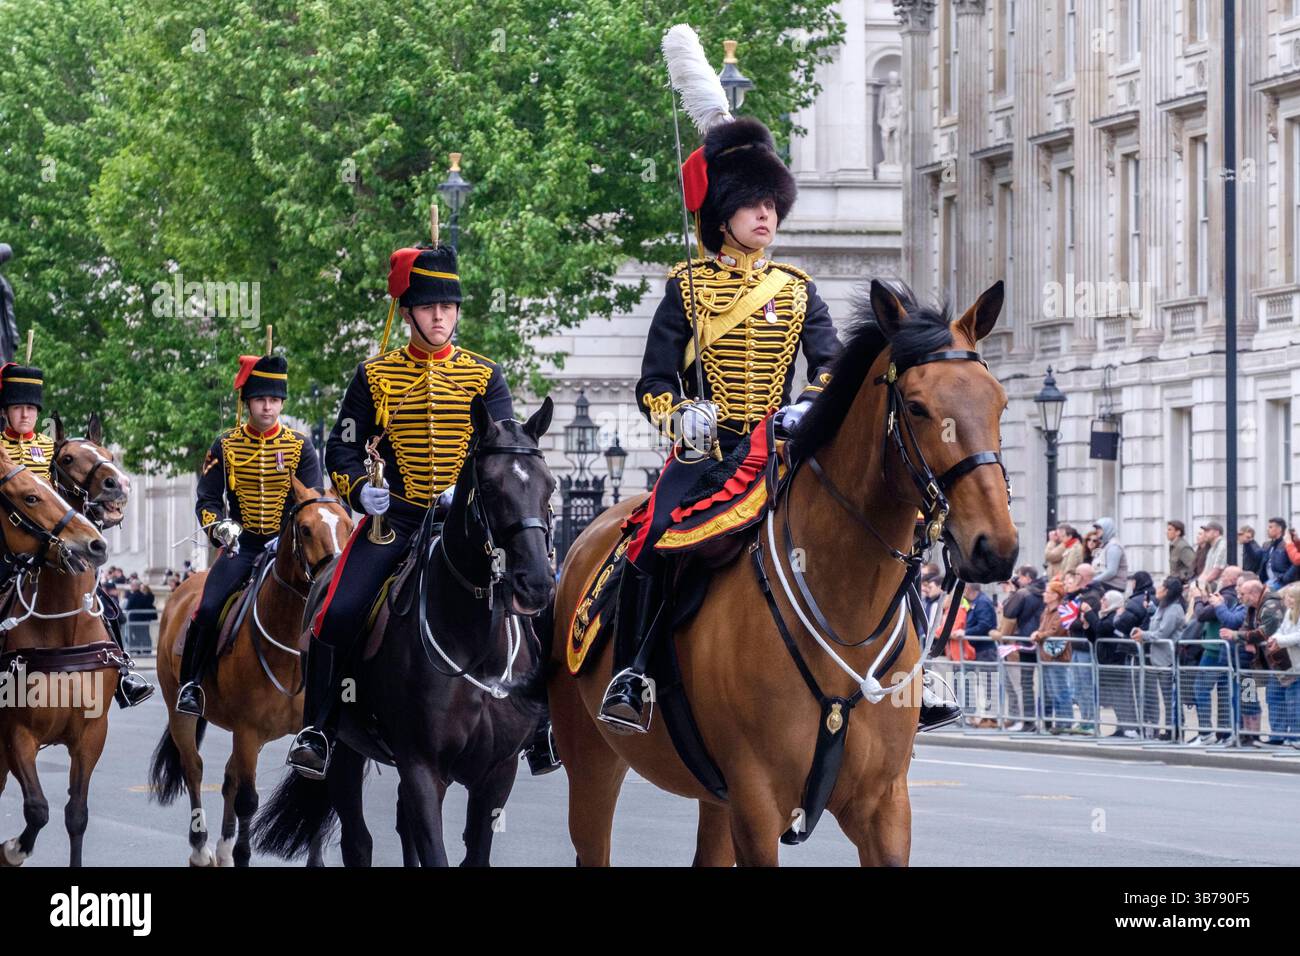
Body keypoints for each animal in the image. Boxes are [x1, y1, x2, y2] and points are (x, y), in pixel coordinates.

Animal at [0, 445, 113, 867]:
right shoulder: (17, 733)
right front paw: (13, 849)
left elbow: (75, 815)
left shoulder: (91, 734)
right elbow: (37, 808)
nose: (96, 544)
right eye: (31, 497)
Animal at [150, 477, 352, 867]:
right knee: (194, 768)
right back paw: (201, 848)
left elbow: (311, 801)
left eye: (350, 527)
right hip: (181, 711)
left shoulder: (313, 738)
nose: (333, 585)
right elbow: (247, 800)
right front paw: (240, 852)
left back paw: (224, 848)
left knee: (228, 776)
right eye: (306, 529)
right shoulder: (248, 730)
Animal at [253, 396, 558, 867]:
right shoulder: (422, 768)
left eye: (550, 486)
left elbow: (473, 852)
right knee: (358, 840)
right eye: (490, 488)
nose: (537, 583)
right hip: (343, 749)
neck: (475, 647)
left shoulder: (497, 772)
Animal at [548, 280, 1019, 866]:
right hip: (592, 761)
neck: (844, 606)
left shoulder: (886, 808)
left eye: (999, 402)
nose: (994, 546)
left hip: (714, 799)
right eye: (916, 406)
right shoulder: (757, 806)